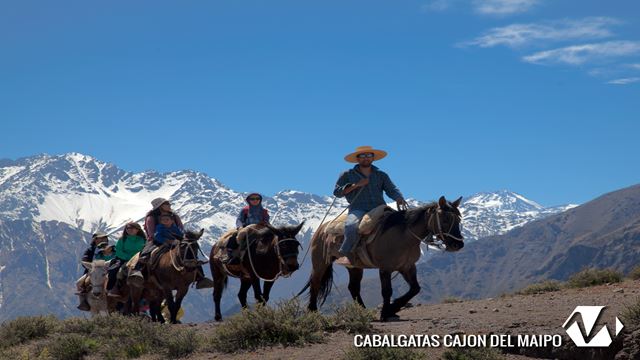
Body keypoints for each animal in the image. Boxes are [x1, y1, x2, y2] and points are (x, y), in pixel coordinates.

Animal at [298, 195, 462, 322]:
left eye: (459, 220)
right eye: (445, 219)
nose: (458, 244)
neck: (404, 235)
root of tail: (322, 228)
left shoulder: (407, 267)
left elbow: (415, 288)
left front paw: (393, 308)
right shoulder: (385, 268)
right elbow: (387, 291)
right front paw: (385, 312)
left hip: (354, 267)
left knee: (353, 287)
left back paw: (363, 311)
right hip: (320, 262)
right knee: (315, 283)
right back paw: (313, 312)